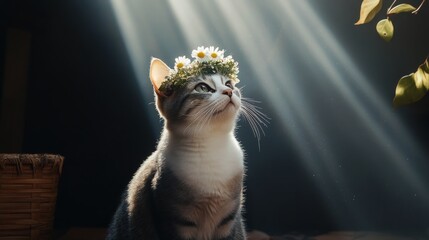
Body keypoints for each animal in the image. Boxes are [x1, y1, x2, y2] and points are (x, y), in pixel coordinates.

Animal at [106, 51, 268, 240]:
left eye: (228, 84)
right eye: (203, 88)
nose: (229, 91)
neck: (211, 144)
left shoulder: (229, 221)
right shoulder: (175, 221)